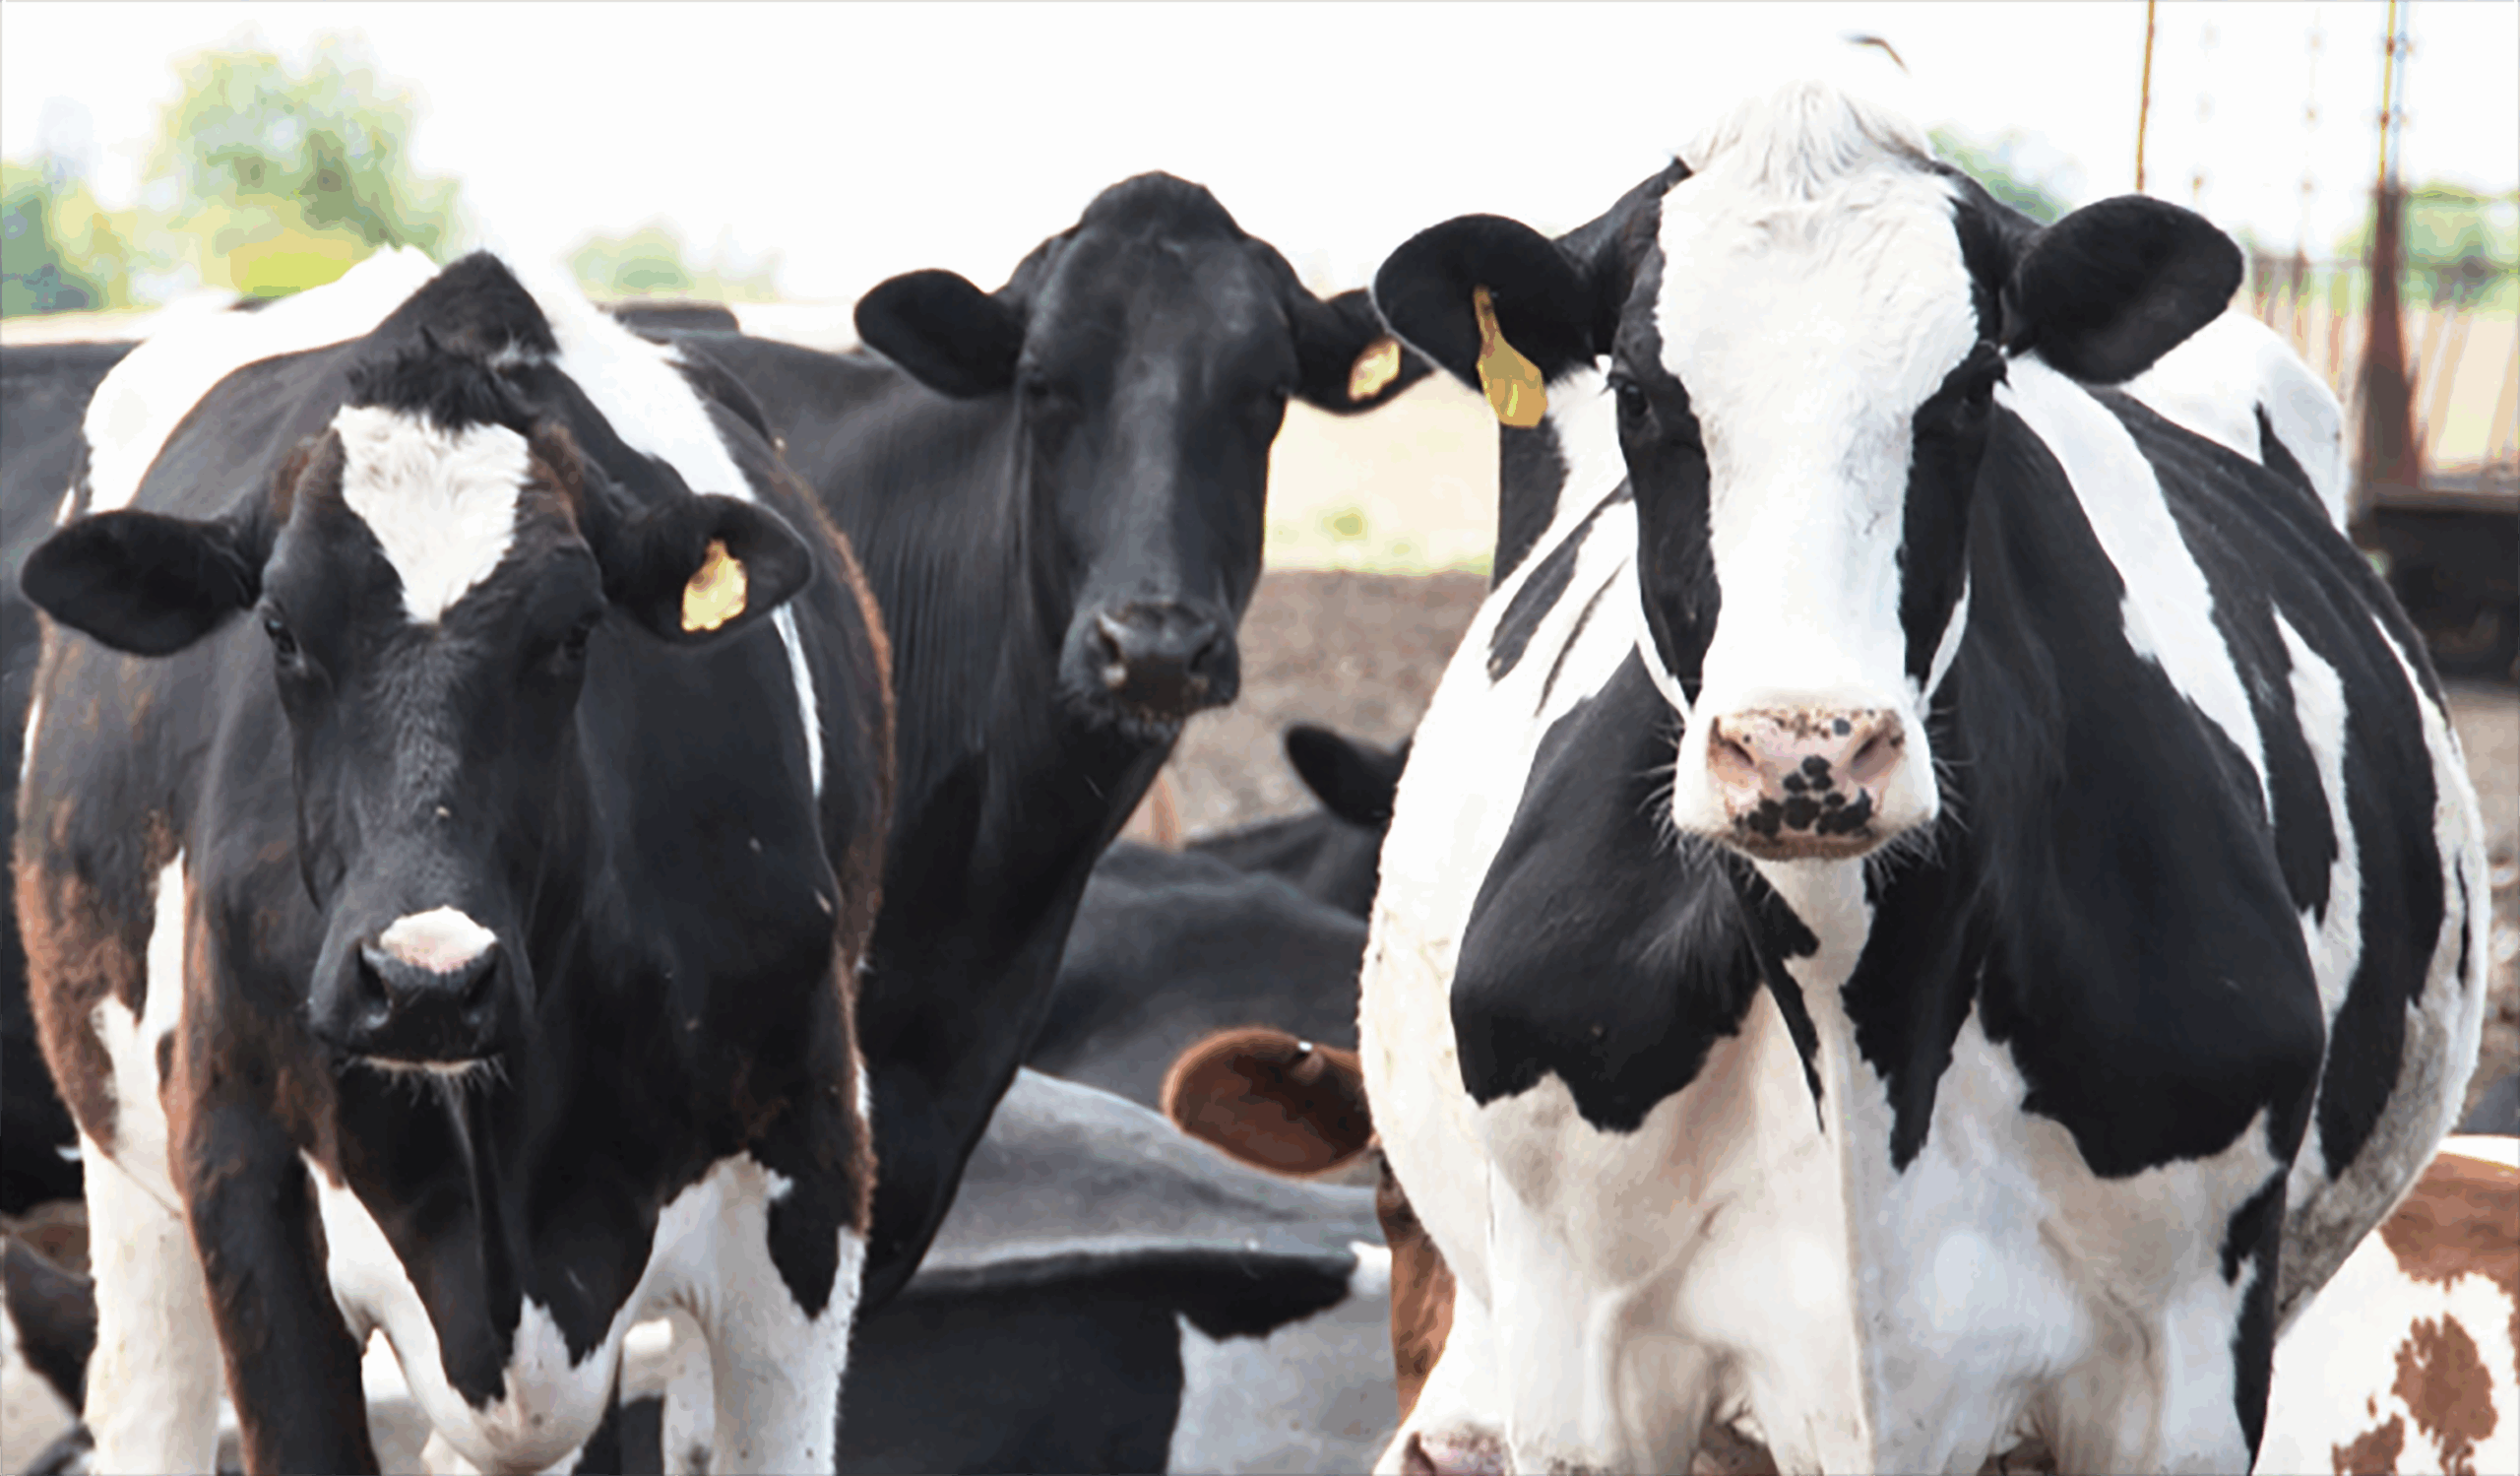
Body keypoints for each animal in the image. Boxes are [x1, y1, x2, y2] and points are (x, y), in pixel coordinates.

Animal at [12, 247, 893, 1473]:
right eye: (279, 628)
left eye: (574, 631)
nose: (425, 978)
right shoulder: (244, 1175)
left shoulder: (811, 1166)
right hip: (125, 1178)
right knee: (149, 1401)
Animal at [1354, 78, 2488, 1473]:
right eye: (1639, 393)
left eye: (1969, 389)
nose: (1806, 745)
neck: (1854, 1004)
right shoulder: (1581, 1359)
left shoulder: (2186, 1358)